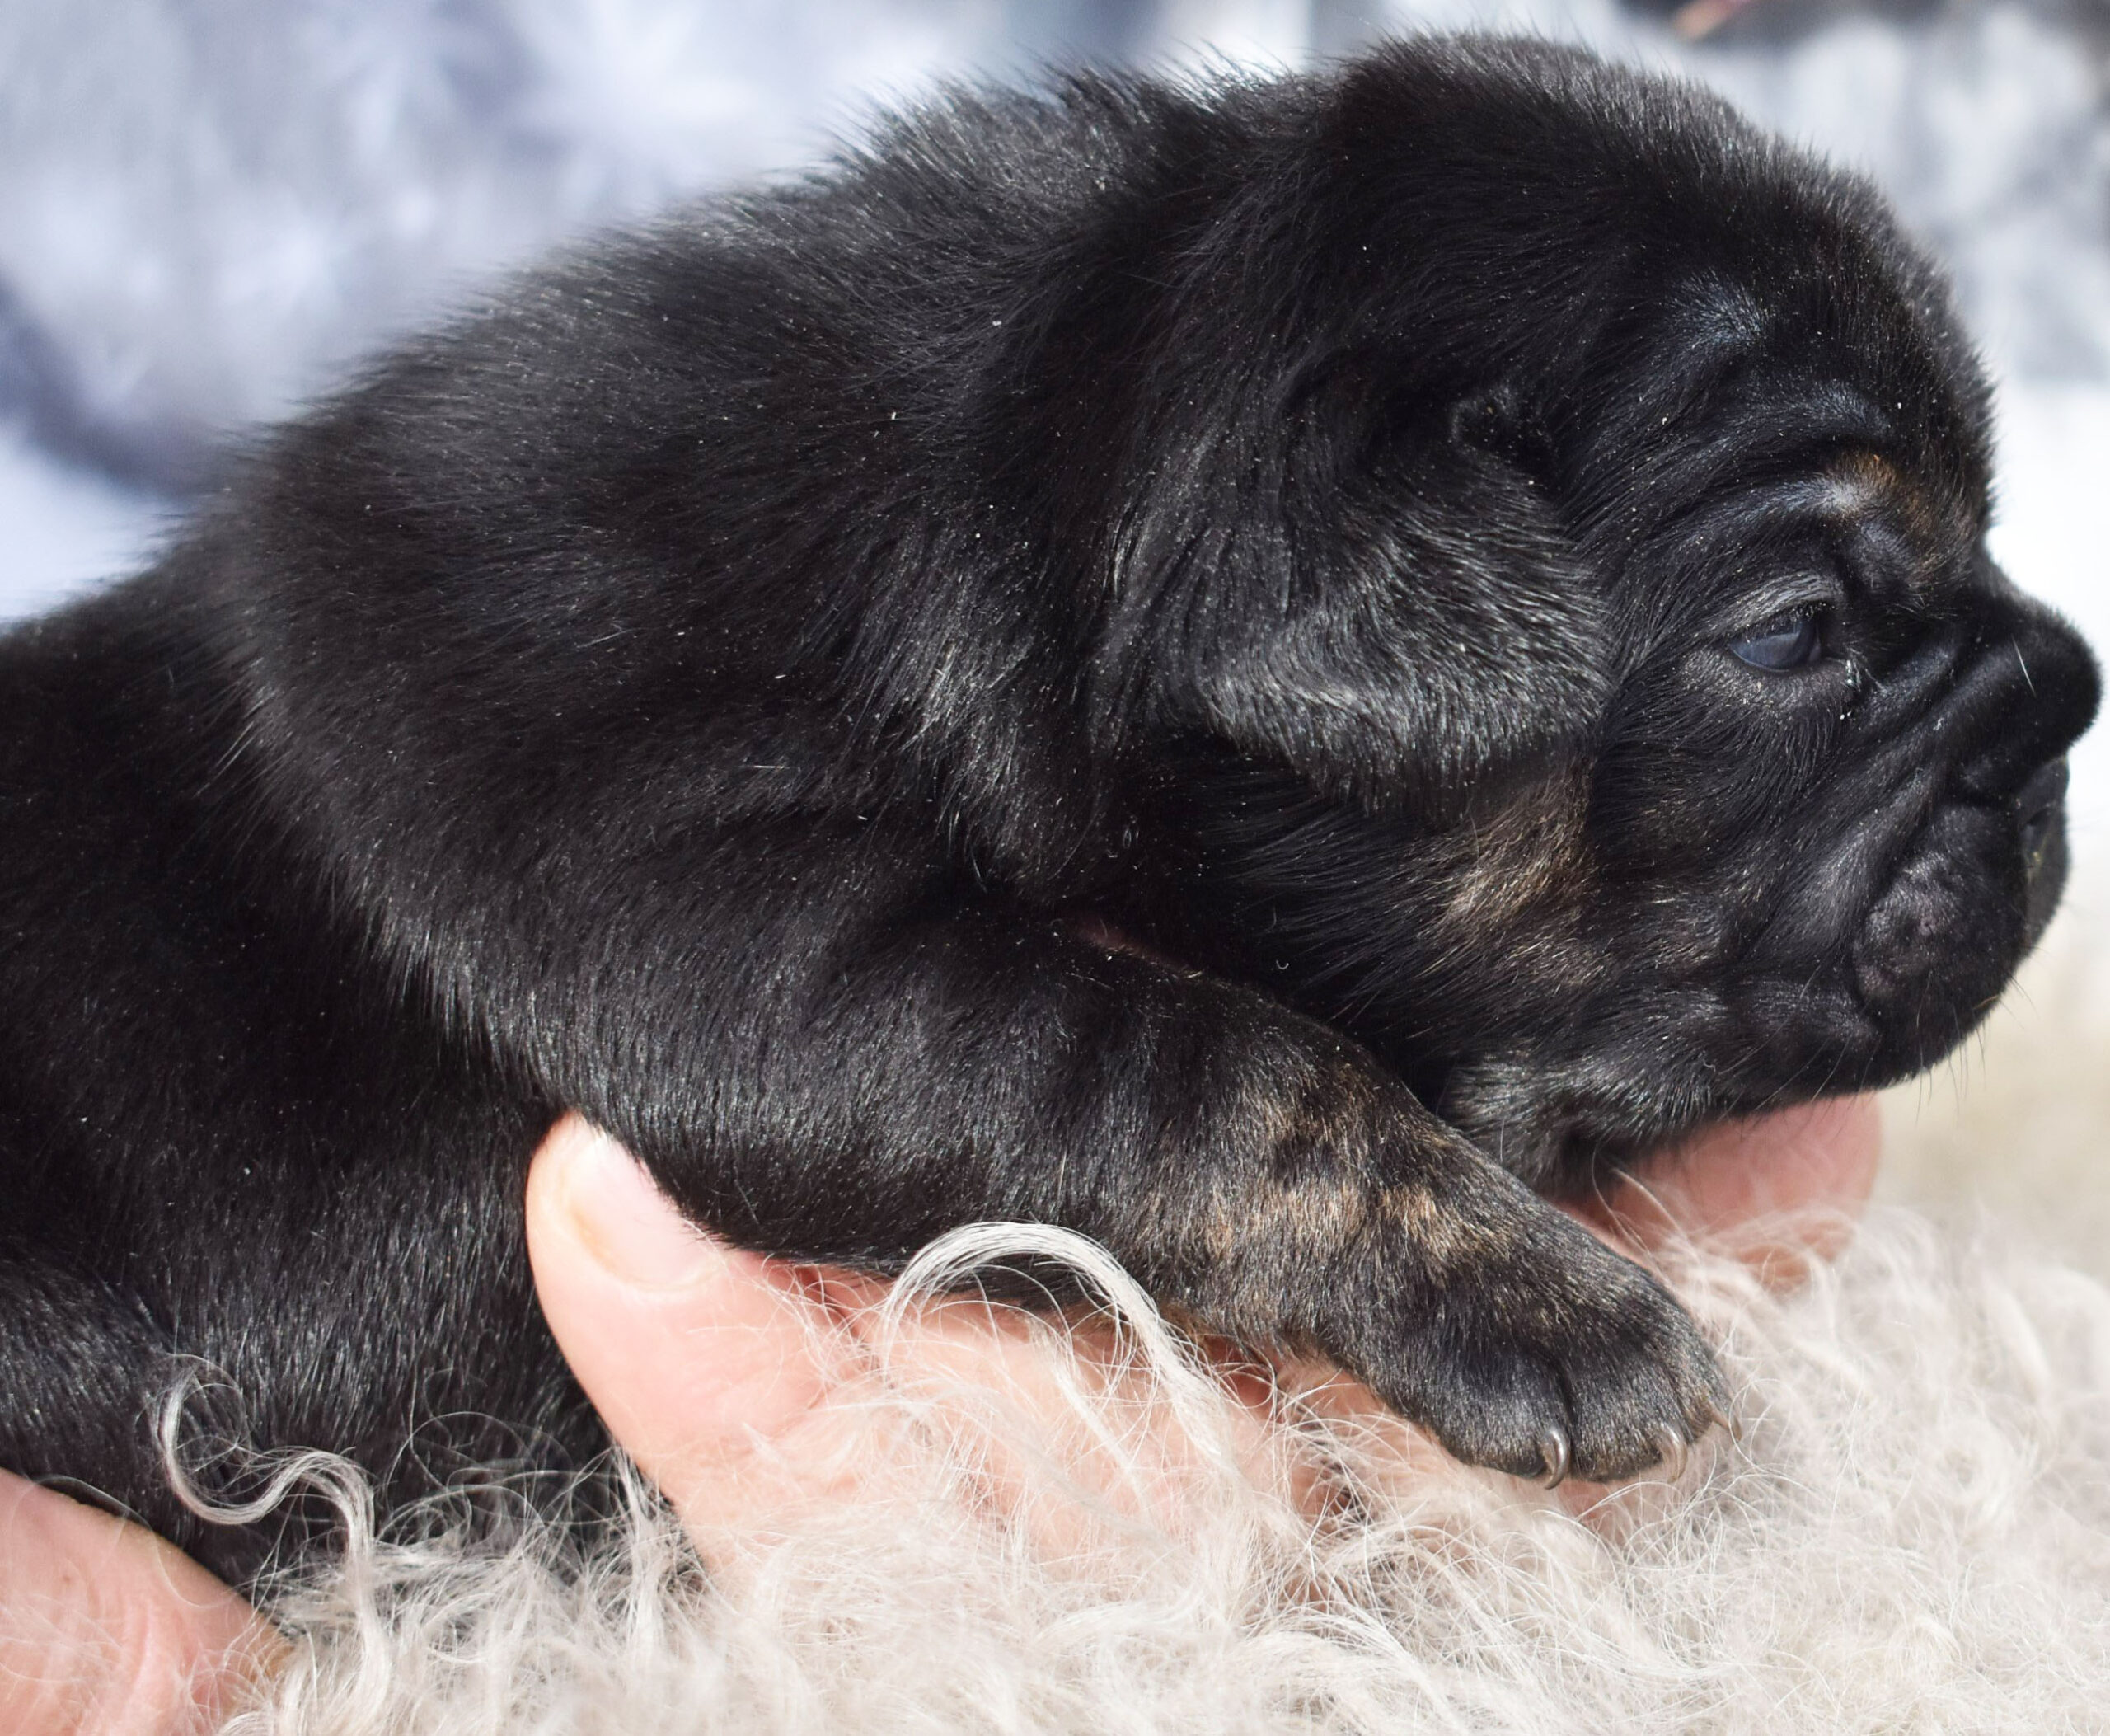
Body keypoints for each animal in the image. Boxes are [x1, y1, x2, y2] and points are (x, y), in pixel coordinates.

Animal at [0, 40, 2093, 1586]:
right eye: (1789, 632)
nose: (2065, 690)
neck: (1045, 435)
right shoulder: (678, 866)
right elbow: (1213, 1065)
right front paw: (1545, 1308)